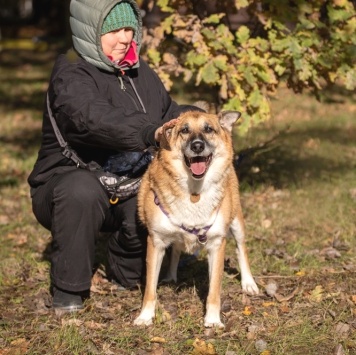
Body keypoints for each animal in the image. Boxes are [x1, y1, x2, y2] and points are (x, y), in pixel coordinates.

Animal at [134, 109, 258, 328]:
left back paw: (249, 283)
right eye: (184, 130)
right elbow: (150, 288)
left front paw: (213, 319)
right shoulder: (156, 241)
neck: (194, 192)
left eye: (209, 129)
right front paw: (145, 316)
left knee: (241, 249)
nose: (197, 146)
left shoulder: (217, 244)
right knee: (176, 250)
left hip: (236, 222)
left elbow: (214, 290)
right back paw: (171, 276)